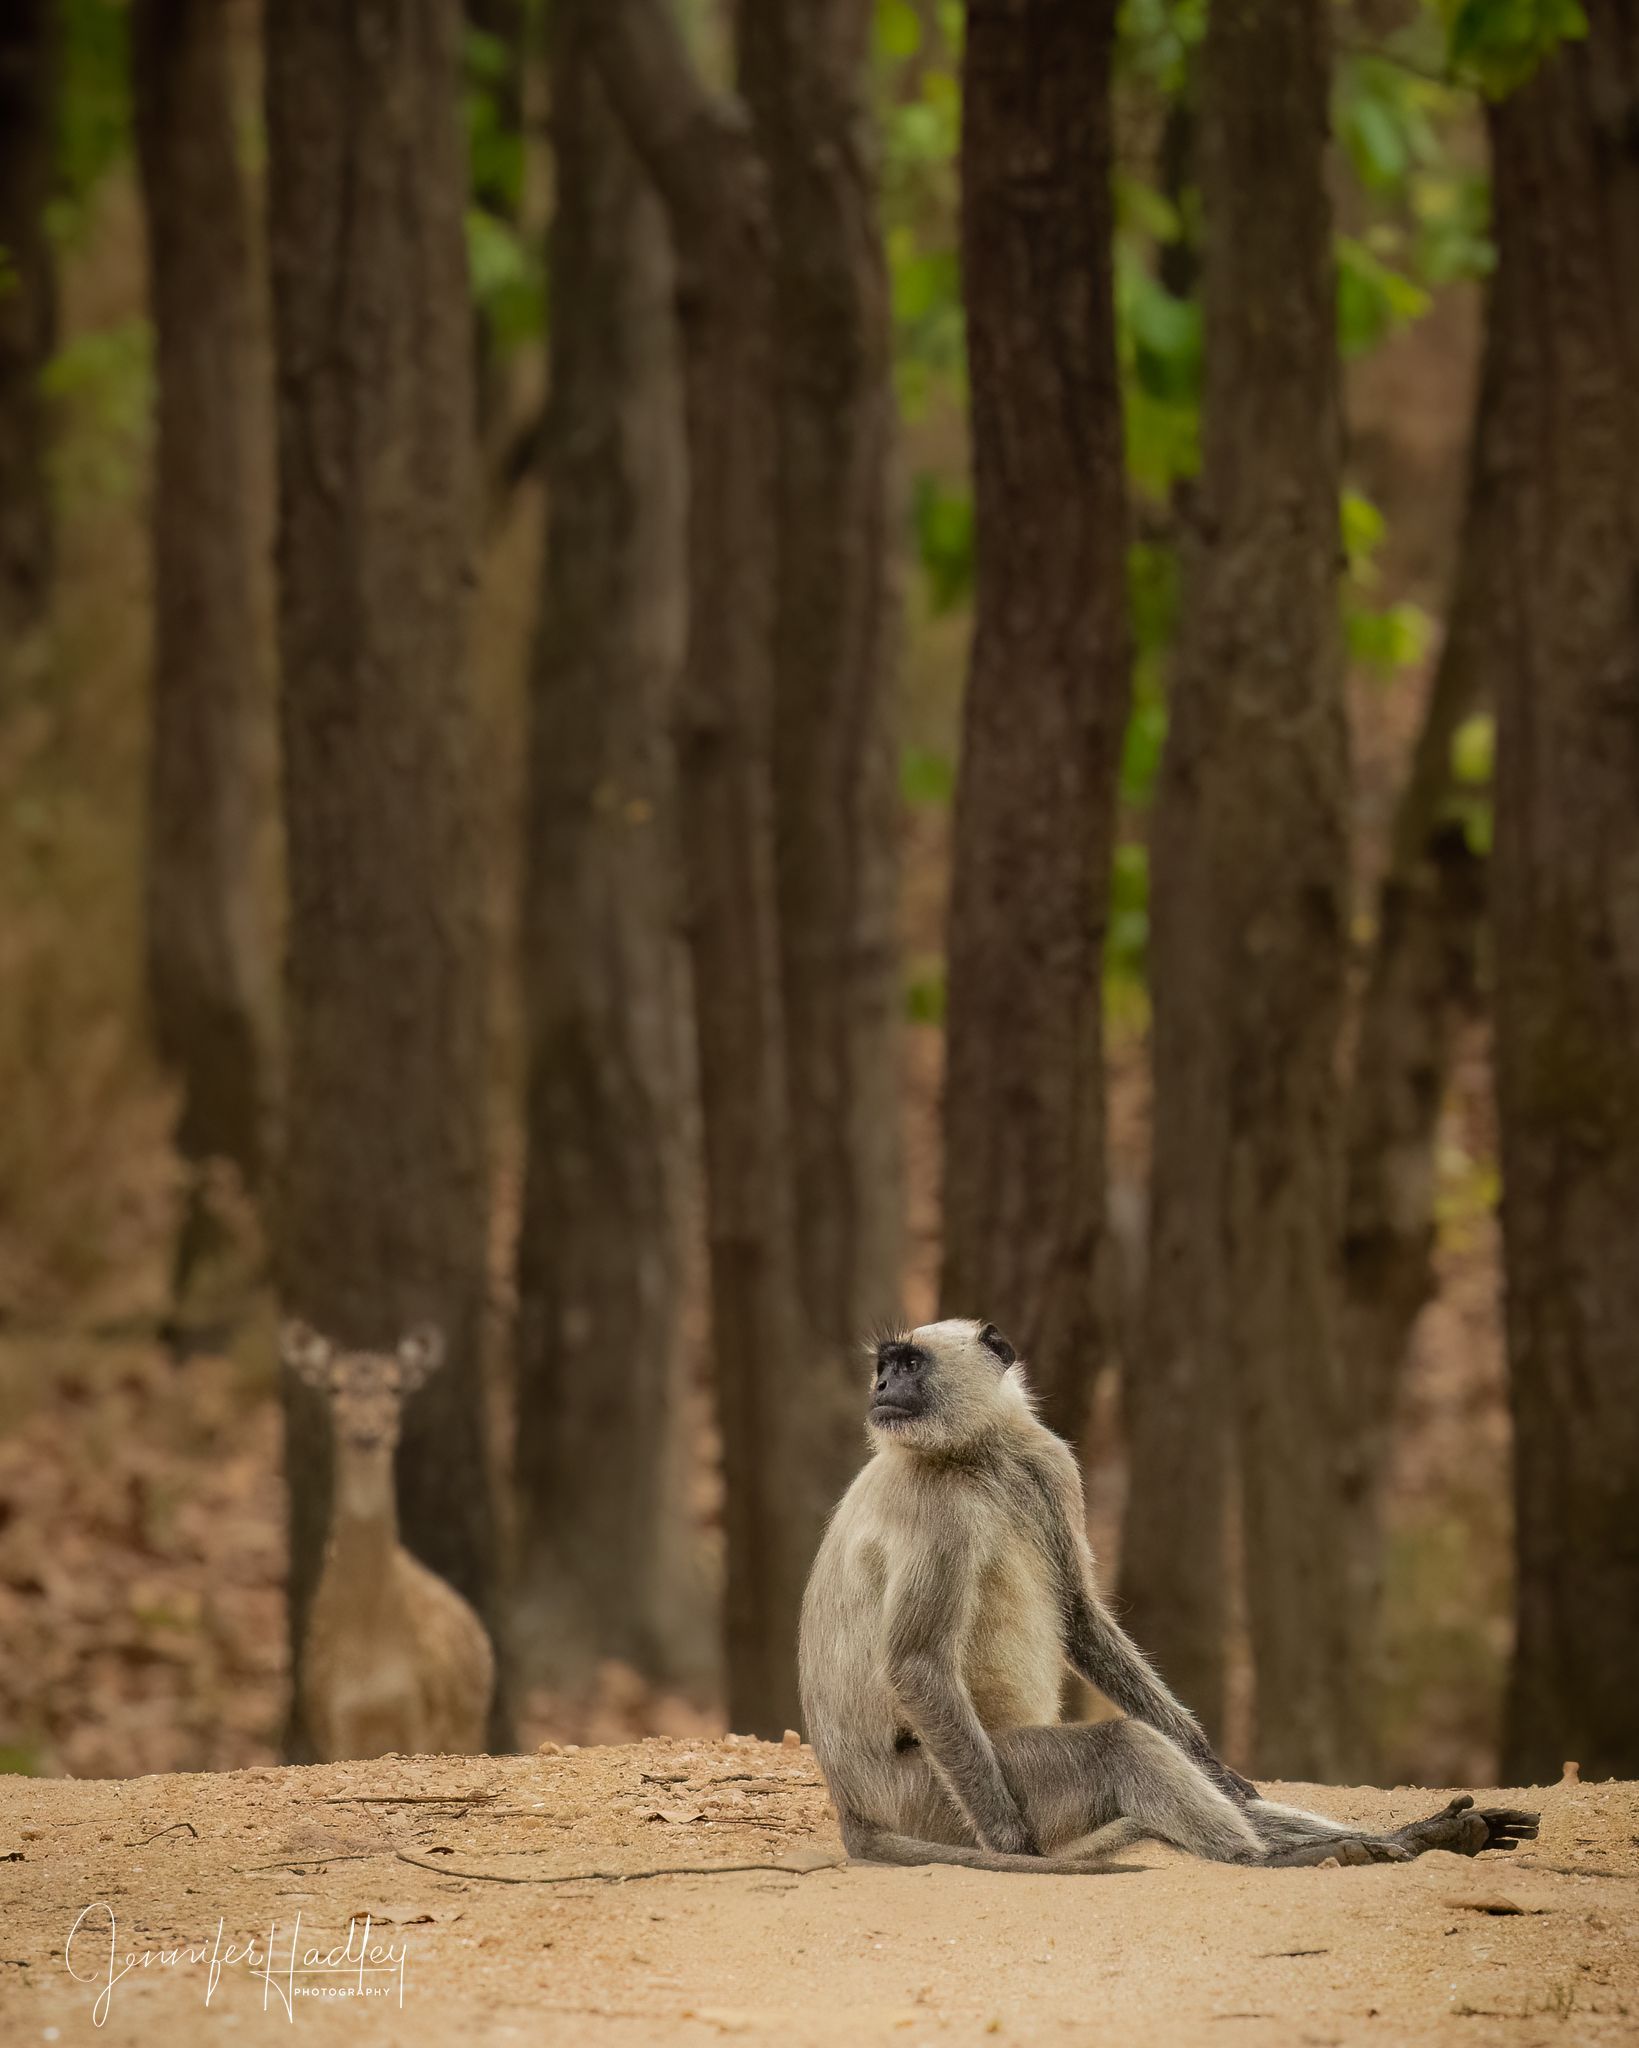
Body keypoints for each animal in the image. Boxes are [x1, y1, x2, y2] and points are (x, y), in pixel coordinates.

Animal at [281, 1320, 495, 1761]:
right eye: (333, 1387)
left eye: (396, 1388)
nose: (367, 1435)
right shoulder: (330, 1715)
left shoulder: (422, 1711)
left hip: (469, 1726)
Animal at [798, 1319, 1538, 1873]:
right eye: (886, 1365)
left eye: (908, 1364)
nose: (881, 1385)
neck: (978, 1454)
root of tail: (853, 1808)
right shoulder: (939, 1508)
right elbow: (920, 1662)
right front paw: (1011, 1844)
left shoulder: (1049, 1464)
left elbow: (1079, 1612)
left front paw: (1213, 1762)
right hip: (928, 1795)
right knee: (1118, 1745)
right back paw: (1275, 1859)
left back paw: (1417, 1837)